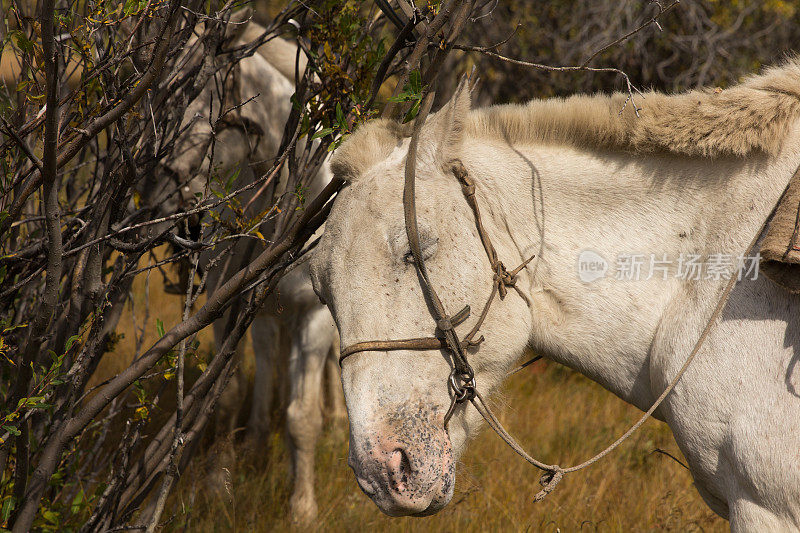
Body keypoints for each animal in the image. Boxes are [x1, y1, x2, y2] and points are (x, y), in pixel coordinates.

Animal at [158, 12, 342, 524]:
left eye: (215, 111)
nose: (185, 218)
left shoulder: (314, 319)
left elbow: (302, 417)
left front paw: (302, 508)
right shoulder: (229, 311)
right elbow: (228, 394)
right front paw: (218, 485)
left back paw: (339, 423)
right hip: (262, 314)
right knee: (266, 358)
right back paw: (258, 441)